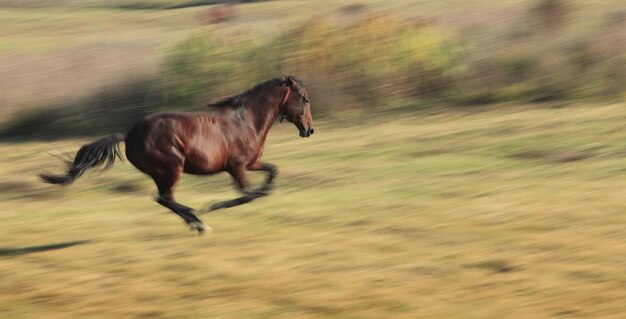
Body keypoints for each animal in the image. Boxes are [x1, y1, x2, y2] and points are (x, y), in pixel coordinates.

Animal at [40, 76, 312, 234]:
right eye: (305, 98)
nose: (309, 129)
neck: (245, 121)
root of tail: (128, 135)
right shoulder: (236, 167)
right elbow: (248, 194)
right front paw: (211, 207)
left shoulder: (251, 163)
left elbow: (271, 173)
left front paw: (267, 190)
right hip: (171, 167)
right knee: (164, 197)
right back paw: (198, 220)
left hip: (164, 171)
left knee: (162, 198)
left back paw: (194, 220)